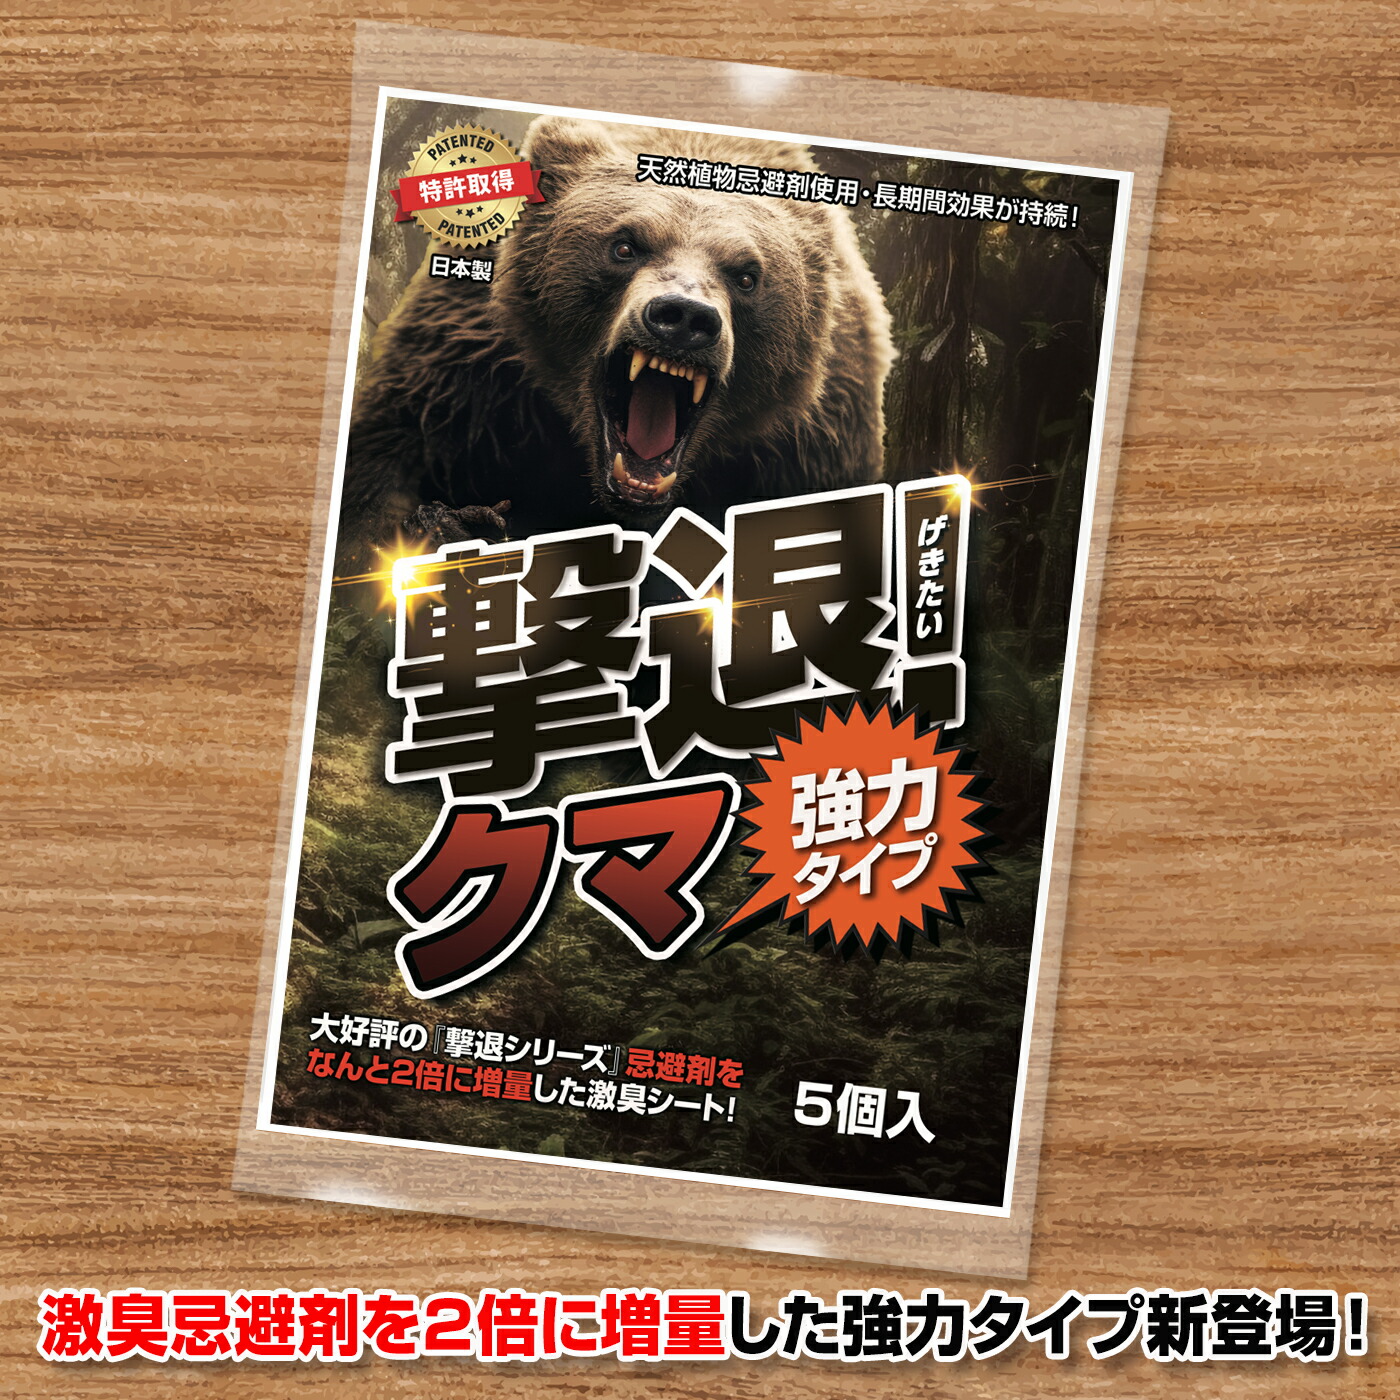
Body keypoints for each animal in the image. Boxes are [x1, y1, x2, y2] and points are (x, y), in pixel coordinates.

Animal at [339, 115, 894, 562]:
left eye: (747, 275)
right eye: (624, 245)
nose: (684, 318)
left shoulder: (809, 436)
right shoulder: (467, 364)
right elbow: (389, 450)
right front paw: (448, 523)